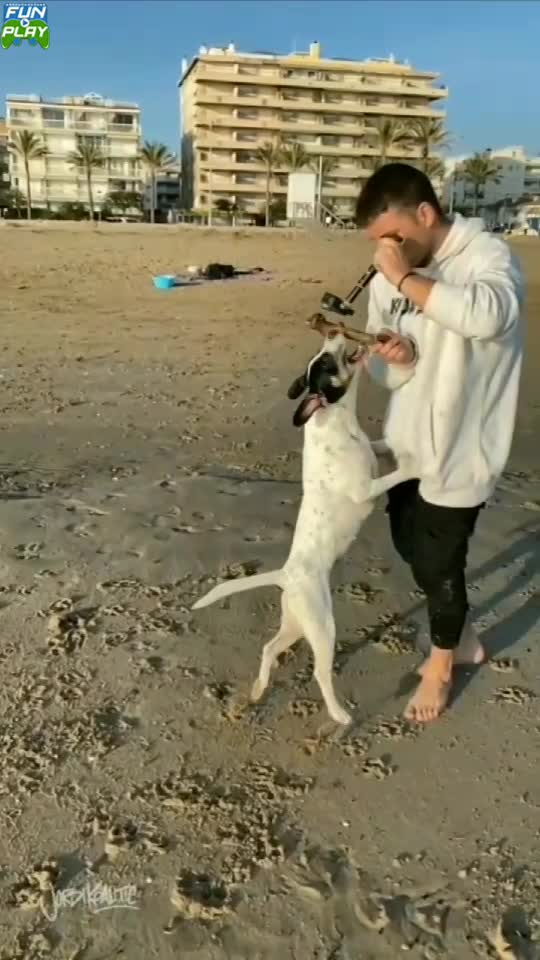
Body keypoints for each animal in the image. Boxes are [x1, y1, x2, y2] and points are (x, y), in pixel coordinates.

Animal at [192, 334, 415, 724]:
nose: (332, 334)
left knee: (269, 648)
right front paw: (417, 466)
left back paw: (258, 689)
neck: (338, 422)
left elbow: (379, 447)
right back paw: (340, 715)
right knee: (319, 674)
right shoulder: (366, 489)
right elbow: (396, 474)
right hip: (323, 629)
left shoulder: (369, 454)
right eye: (325, 362)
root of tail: (285, 575)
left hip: (296, 624)